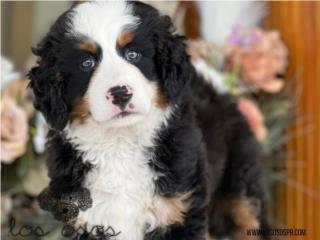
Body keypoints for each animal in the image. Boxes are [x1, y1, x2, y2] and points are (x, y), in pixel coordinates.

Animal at [28, 0, 268, 240]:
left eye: (133, 54)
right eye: (86, 63)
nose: (120, 93)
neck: (119, 145)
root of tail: (215, 90)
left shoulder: (180, 209)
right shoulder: (86, 218)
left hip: (239, 182)